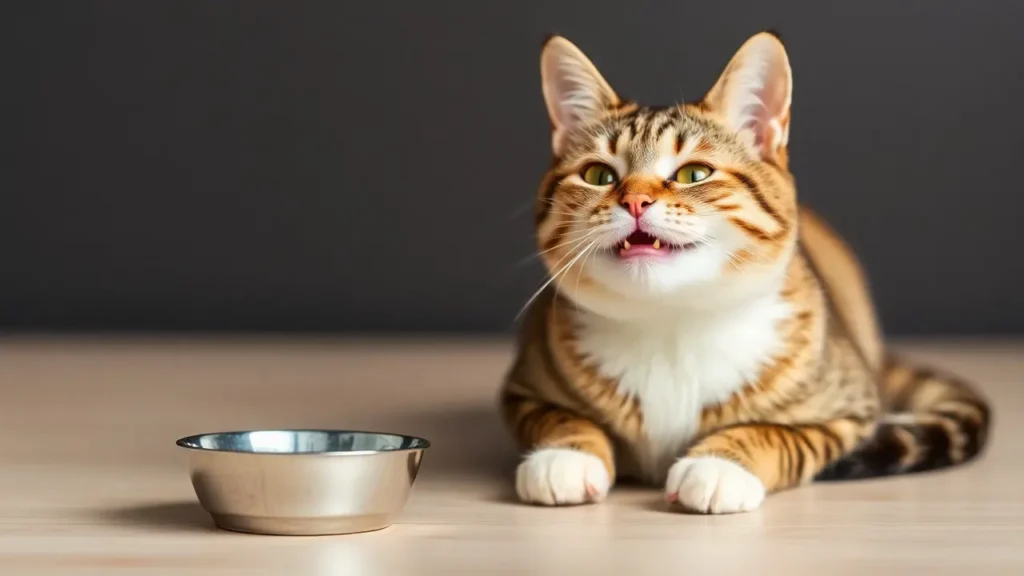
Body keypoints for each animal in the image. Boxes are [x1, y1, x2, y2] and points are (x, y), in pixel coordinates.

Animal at [499, 30, 987, 510]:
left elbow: (777, 433)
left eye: (694, 173)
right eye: (599, 175)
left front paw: (720, 463)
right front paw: (565, 455)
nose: (635, 200)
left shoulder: (849, 411)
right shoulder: (523, 389)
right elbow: (558, 417)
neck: (670, 324)